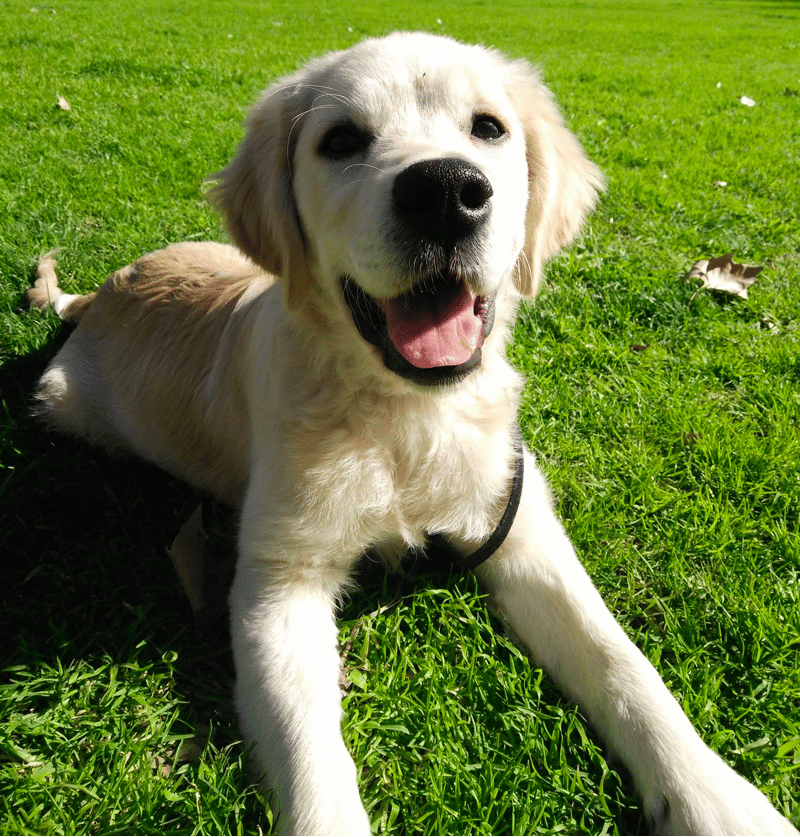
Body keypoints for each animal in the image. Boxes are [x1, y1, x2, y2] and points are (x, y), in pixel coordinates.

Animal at [29, 31, 792, 836]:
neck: (406, 412)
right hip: (63, 400)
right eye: (340, 140)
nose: (446, 193)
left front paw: (717, 799)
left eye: (488, 128)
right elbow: (312, 755)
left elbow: (623, 662)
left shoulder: (521, 528)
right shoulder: (279, 580)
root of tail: (102, 292)